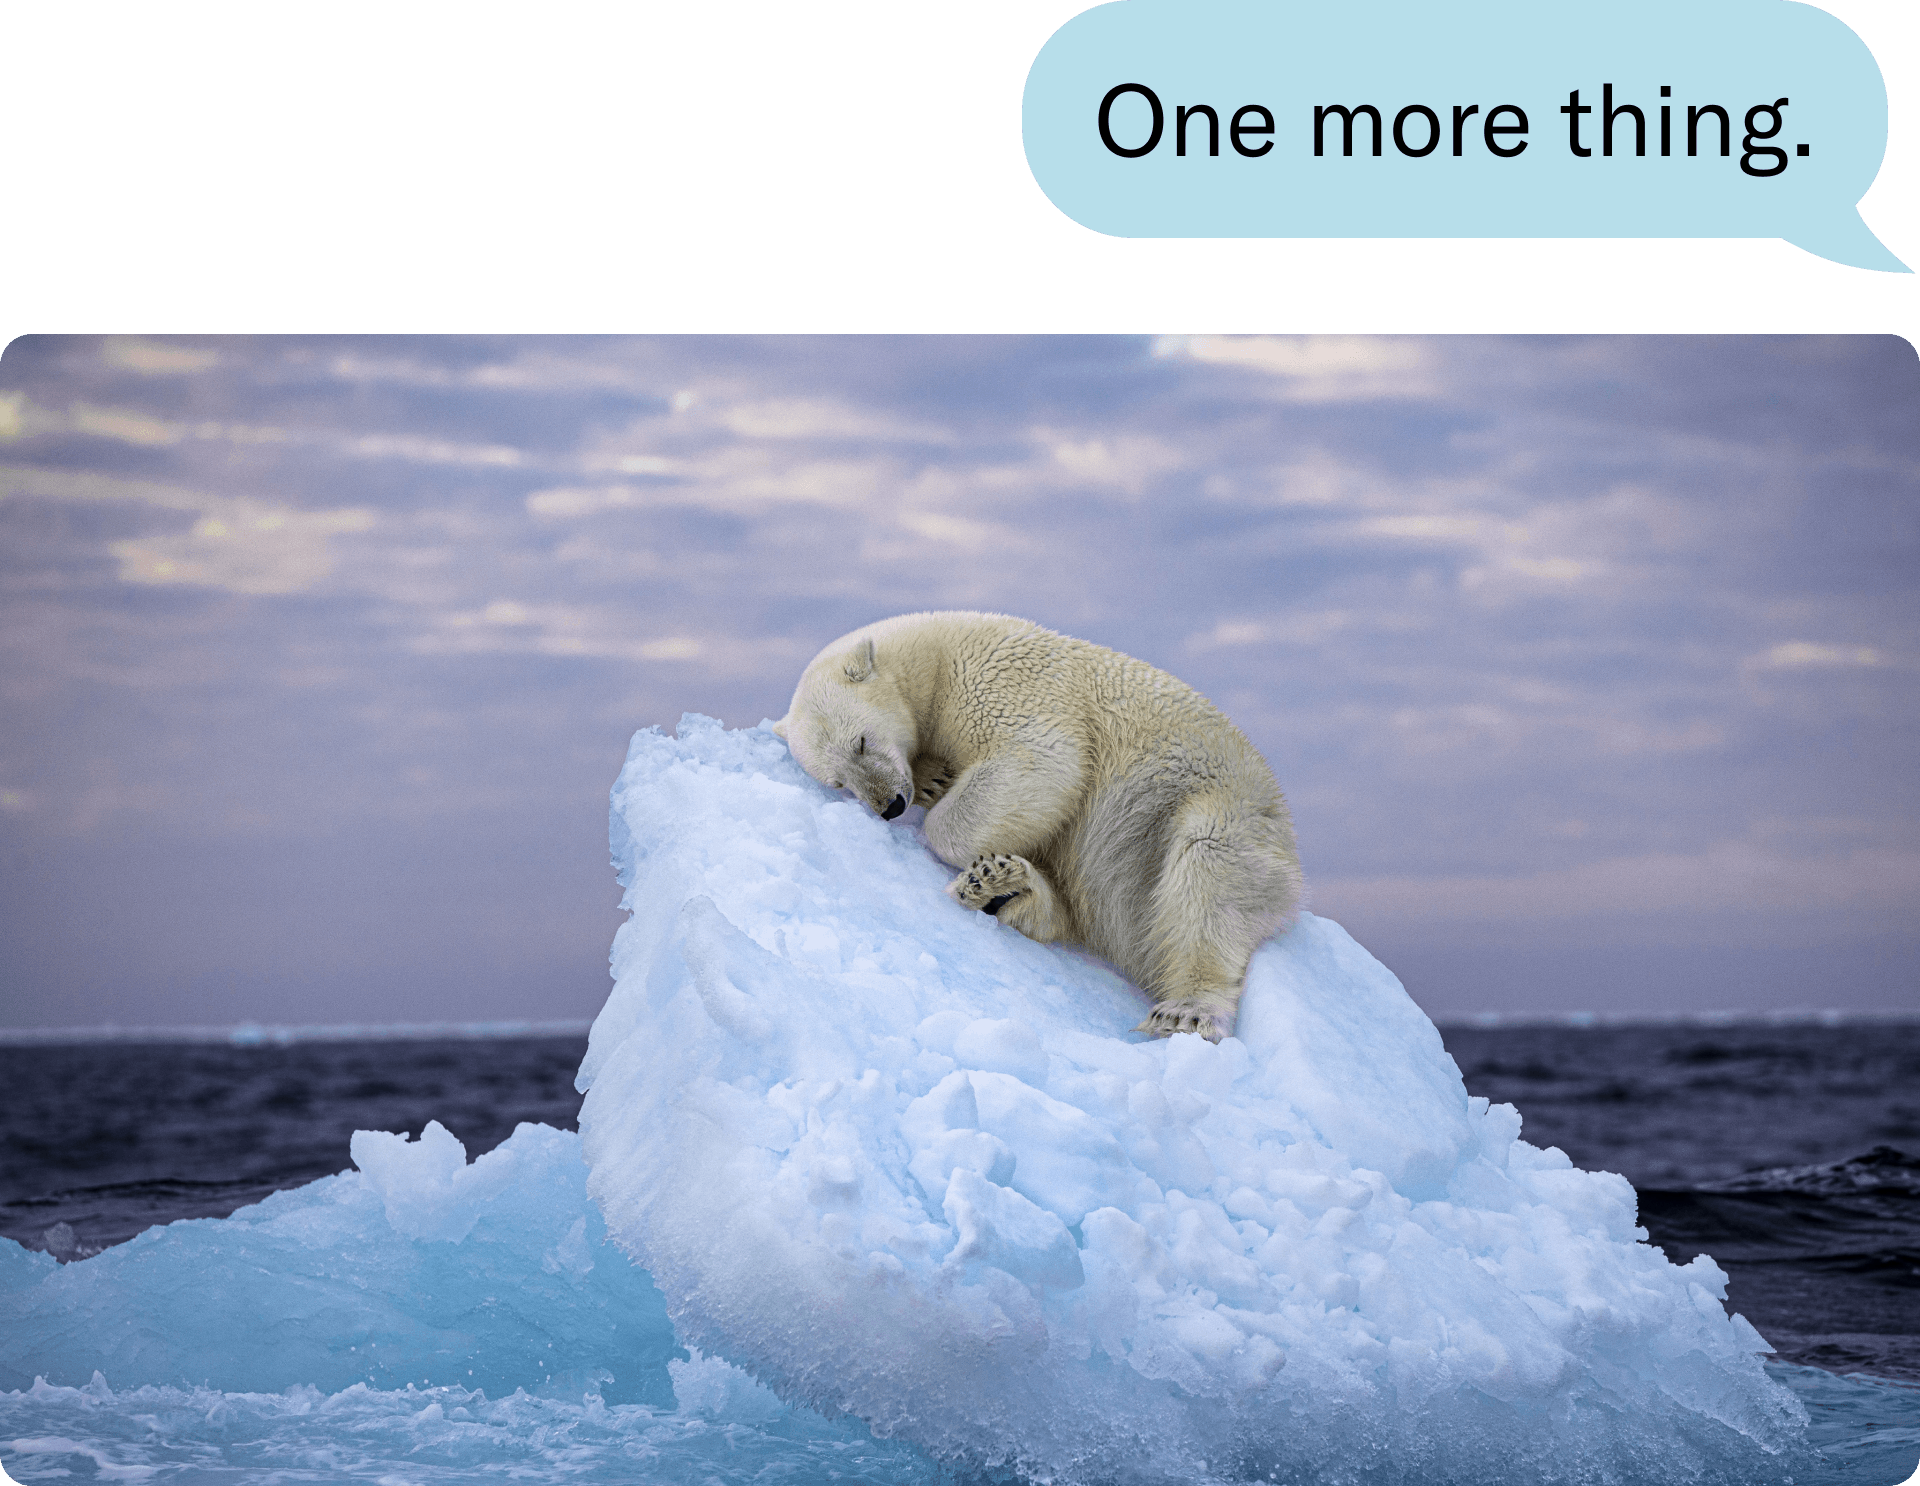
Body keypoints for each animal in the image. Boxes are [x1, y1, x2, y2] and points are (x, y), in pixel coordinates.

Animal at [773, 611, 1304, 1042]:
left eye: (861, 742)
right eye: (839, 782)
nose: (889, 806)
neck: (935, 657)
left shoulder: (1004, 683)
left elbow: (1043, 761)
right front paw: (933, 781)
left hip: (1212, 809)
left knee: (1207, 880)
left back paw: (1185, 1011)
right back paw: (1002, 887)